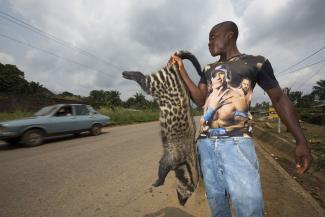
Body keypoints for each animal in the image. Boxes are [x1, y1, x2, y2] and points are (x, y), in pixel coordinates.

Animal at [121, 50, 202, 205]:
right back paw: (130, 73)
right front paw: (159, 181)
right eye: (186, 194)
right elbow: (162, 168)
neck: (188, 163)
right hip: (158, 82)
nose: (182, 204)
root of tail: (174, 68)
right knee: (143, 79)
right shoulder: (173, 156)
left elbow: (162, 165)